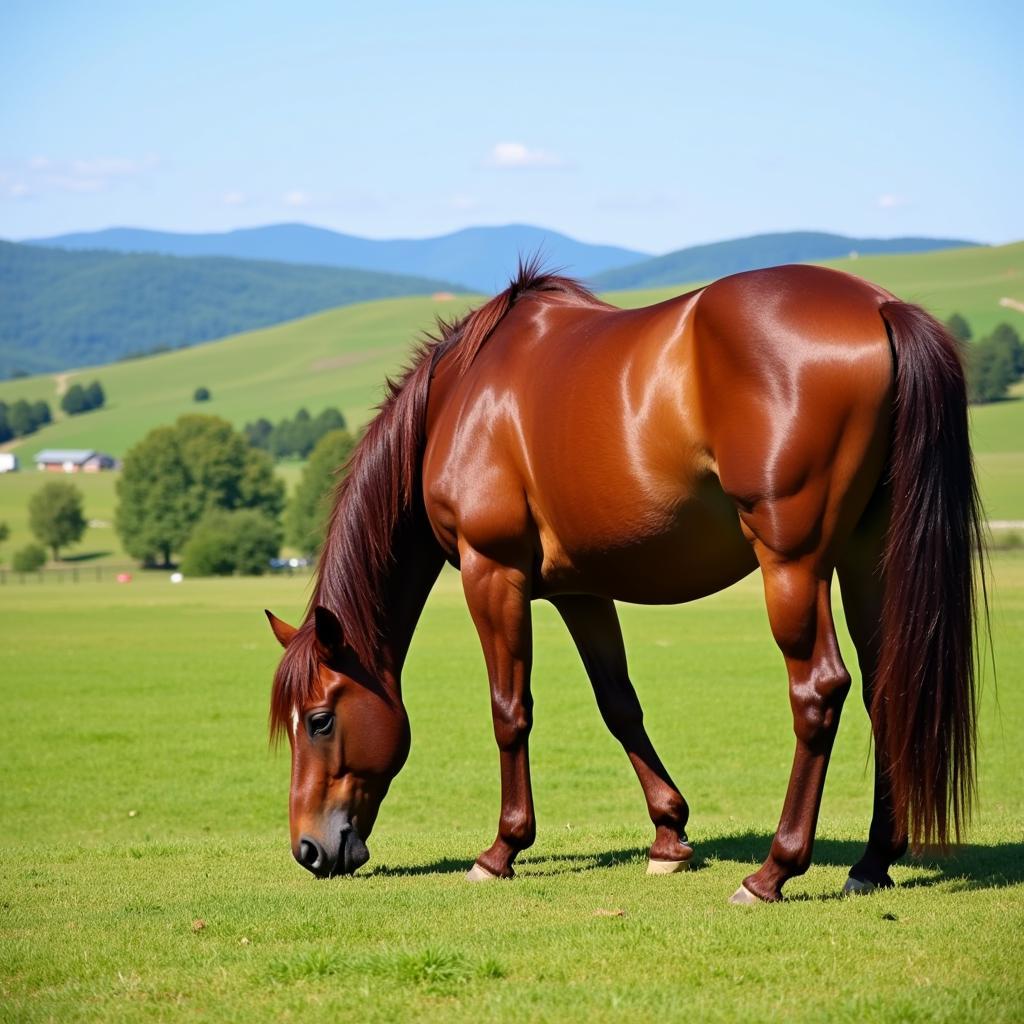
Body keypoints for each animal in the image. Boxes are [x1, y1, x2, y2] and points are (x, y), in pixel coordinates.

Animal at [266, 258, 983, 905]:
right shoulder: (580, 589)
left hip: (795, 563)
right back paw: (872, 862)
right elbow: (619, 703)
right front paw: (669, 837)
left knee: (819, 692)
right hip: (868, 556)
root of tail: (880, 307)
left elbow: (509, 710)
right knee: (889, 688)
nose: (307, 850)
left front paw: (502, 850)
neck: (461, 399)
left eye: (321, 720)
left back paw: (773, 873)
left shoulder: (491, 571)